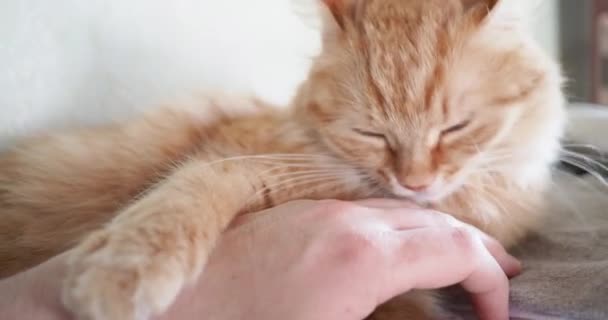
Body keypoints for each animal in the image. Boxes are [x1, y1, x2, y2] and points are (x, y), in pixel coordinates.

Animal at [0, 0, 564, 318]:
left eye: (455, 127)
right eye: (371, 133)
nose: (415, 183)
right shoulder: (231, 156)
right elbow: (185, 195)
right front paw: (123, 269)